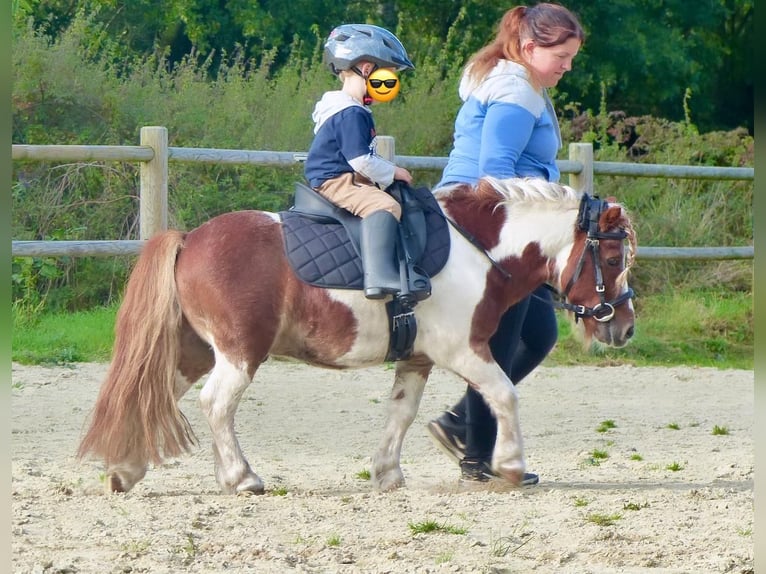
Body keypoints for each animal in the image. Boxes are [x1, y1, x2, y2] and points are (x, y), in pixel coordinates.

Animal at [79, 178, 636, 498]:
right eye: (612, 259)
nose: (624, 326)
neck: (477, 251)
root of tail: (190, 239)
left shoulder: (417, 359)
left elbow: (401, 413)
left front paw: (387, 473)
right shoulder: (464, 351)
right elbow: (503, 394)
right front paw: (512, 466)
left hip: (193, 351)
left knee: (156, 396)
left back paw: (126, 470)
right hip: (239, 354)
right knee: (216, 403)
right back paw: (241, 477)